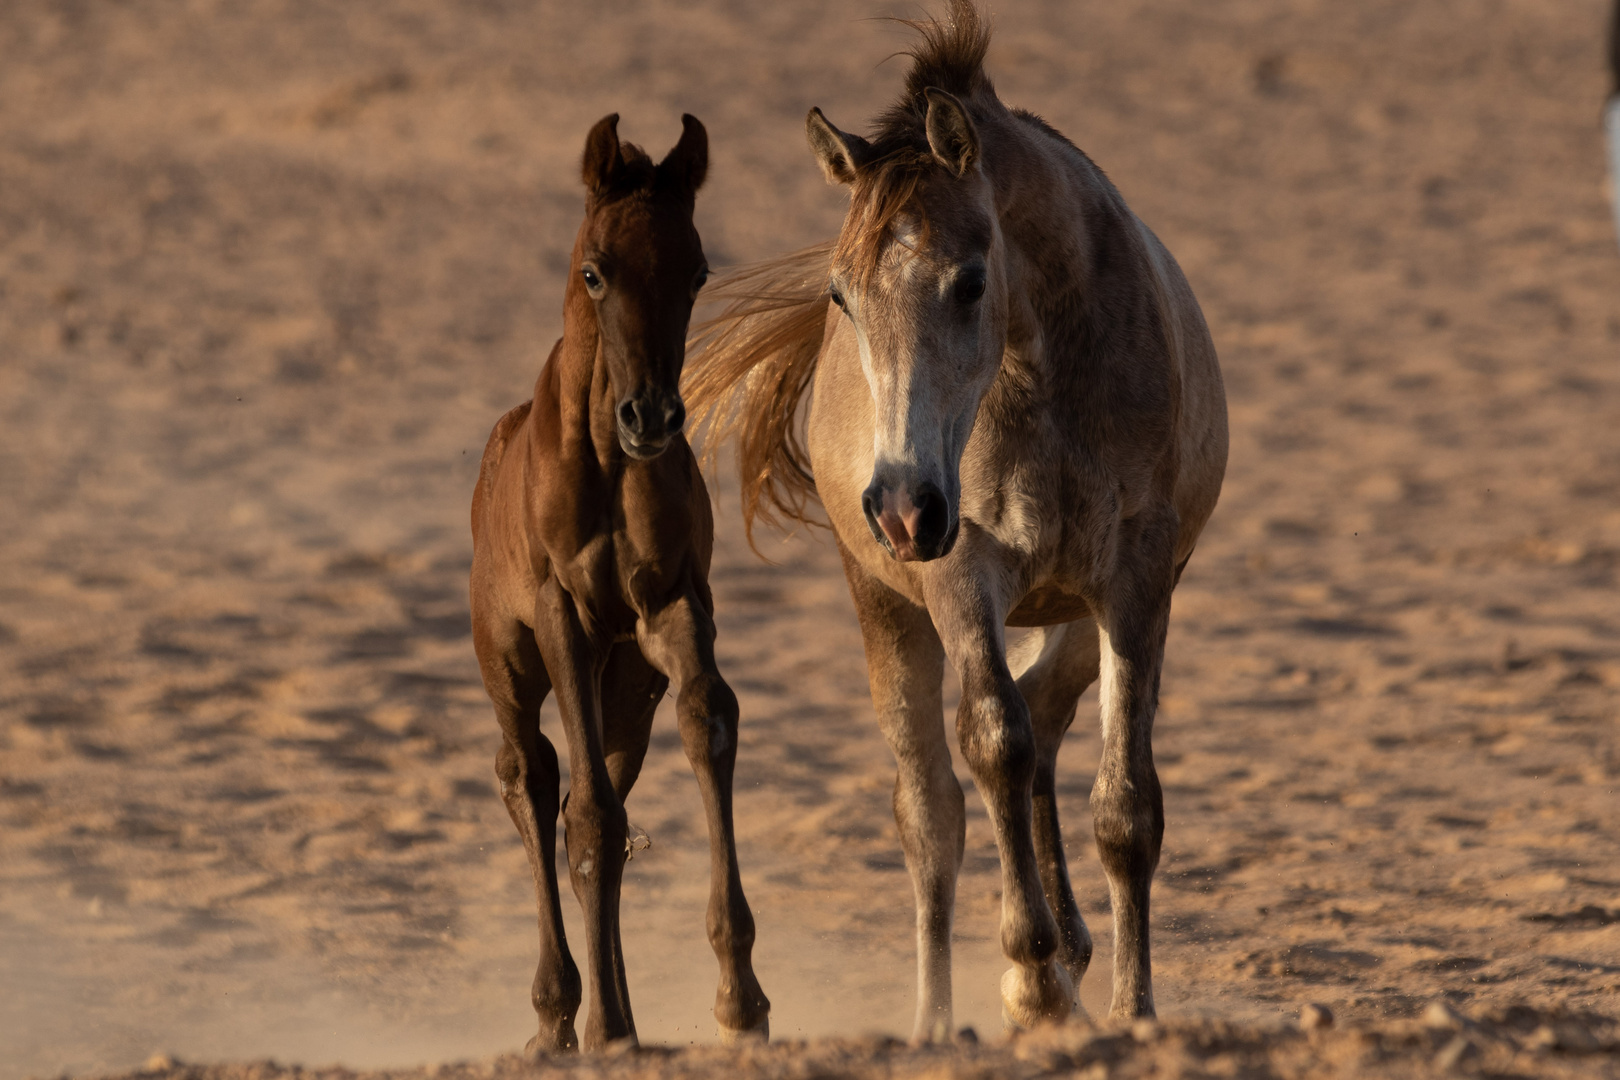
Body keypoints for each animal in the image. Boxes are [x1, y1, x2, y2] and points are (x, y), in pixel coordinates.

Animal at [469, 114, 771, 1049]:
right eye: (595, 271)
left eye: (697, 270)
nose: (652, 416)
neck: (605, 463)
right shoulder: (562, 616)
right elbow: (588, 813)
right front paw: (593, 1025)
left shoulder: (671, 603)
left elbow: (708, 720)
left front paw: (742, 1001)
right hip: (510, 665)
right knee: (532, 781)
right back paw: (559, 1013)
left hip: (623, 685)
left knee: (590, 796)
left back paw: (620, 1017)